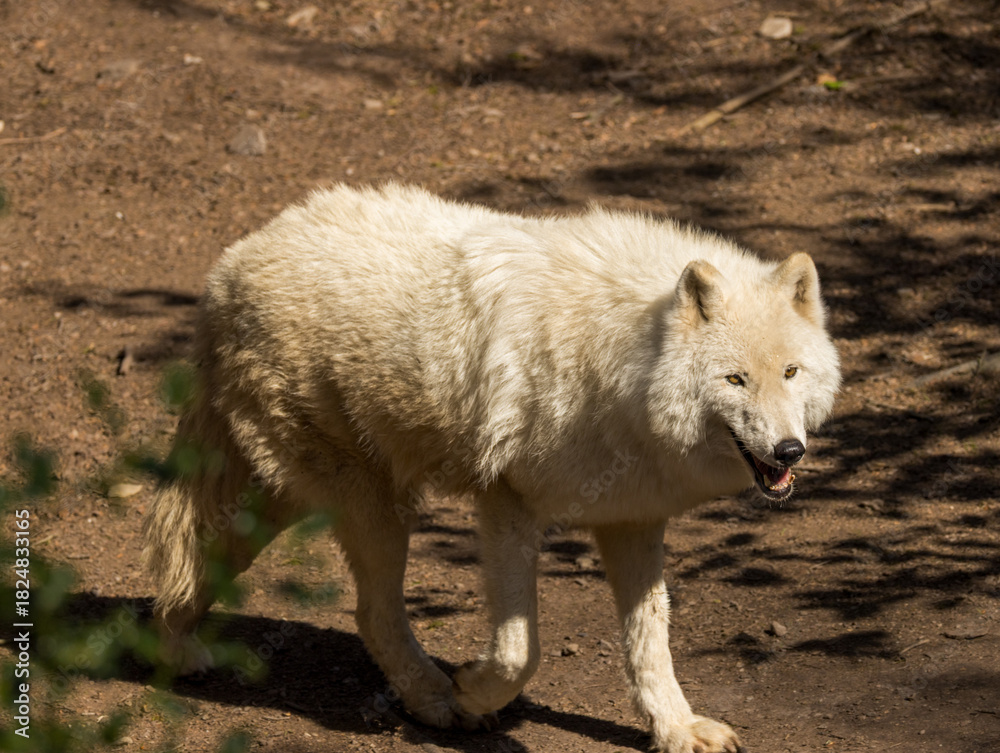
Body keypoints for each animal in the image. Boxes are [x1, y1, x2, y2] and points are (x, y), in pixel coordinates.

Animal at [144, 183, 840, 753]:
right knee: (369, 612)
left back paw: (171, 645)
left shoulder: (632, 519)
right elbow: (519, 651)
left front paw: (675, 729)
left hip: (284, 501)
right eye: (734, 379)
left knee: (202, 554)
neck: (616, 362)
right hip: (370, 506)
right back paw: (433, 700)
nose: (788, 451)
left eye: (790, 372)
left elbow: (651, 642)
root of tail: (229, 267)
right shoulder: (508, 502)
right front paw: (473, 690)